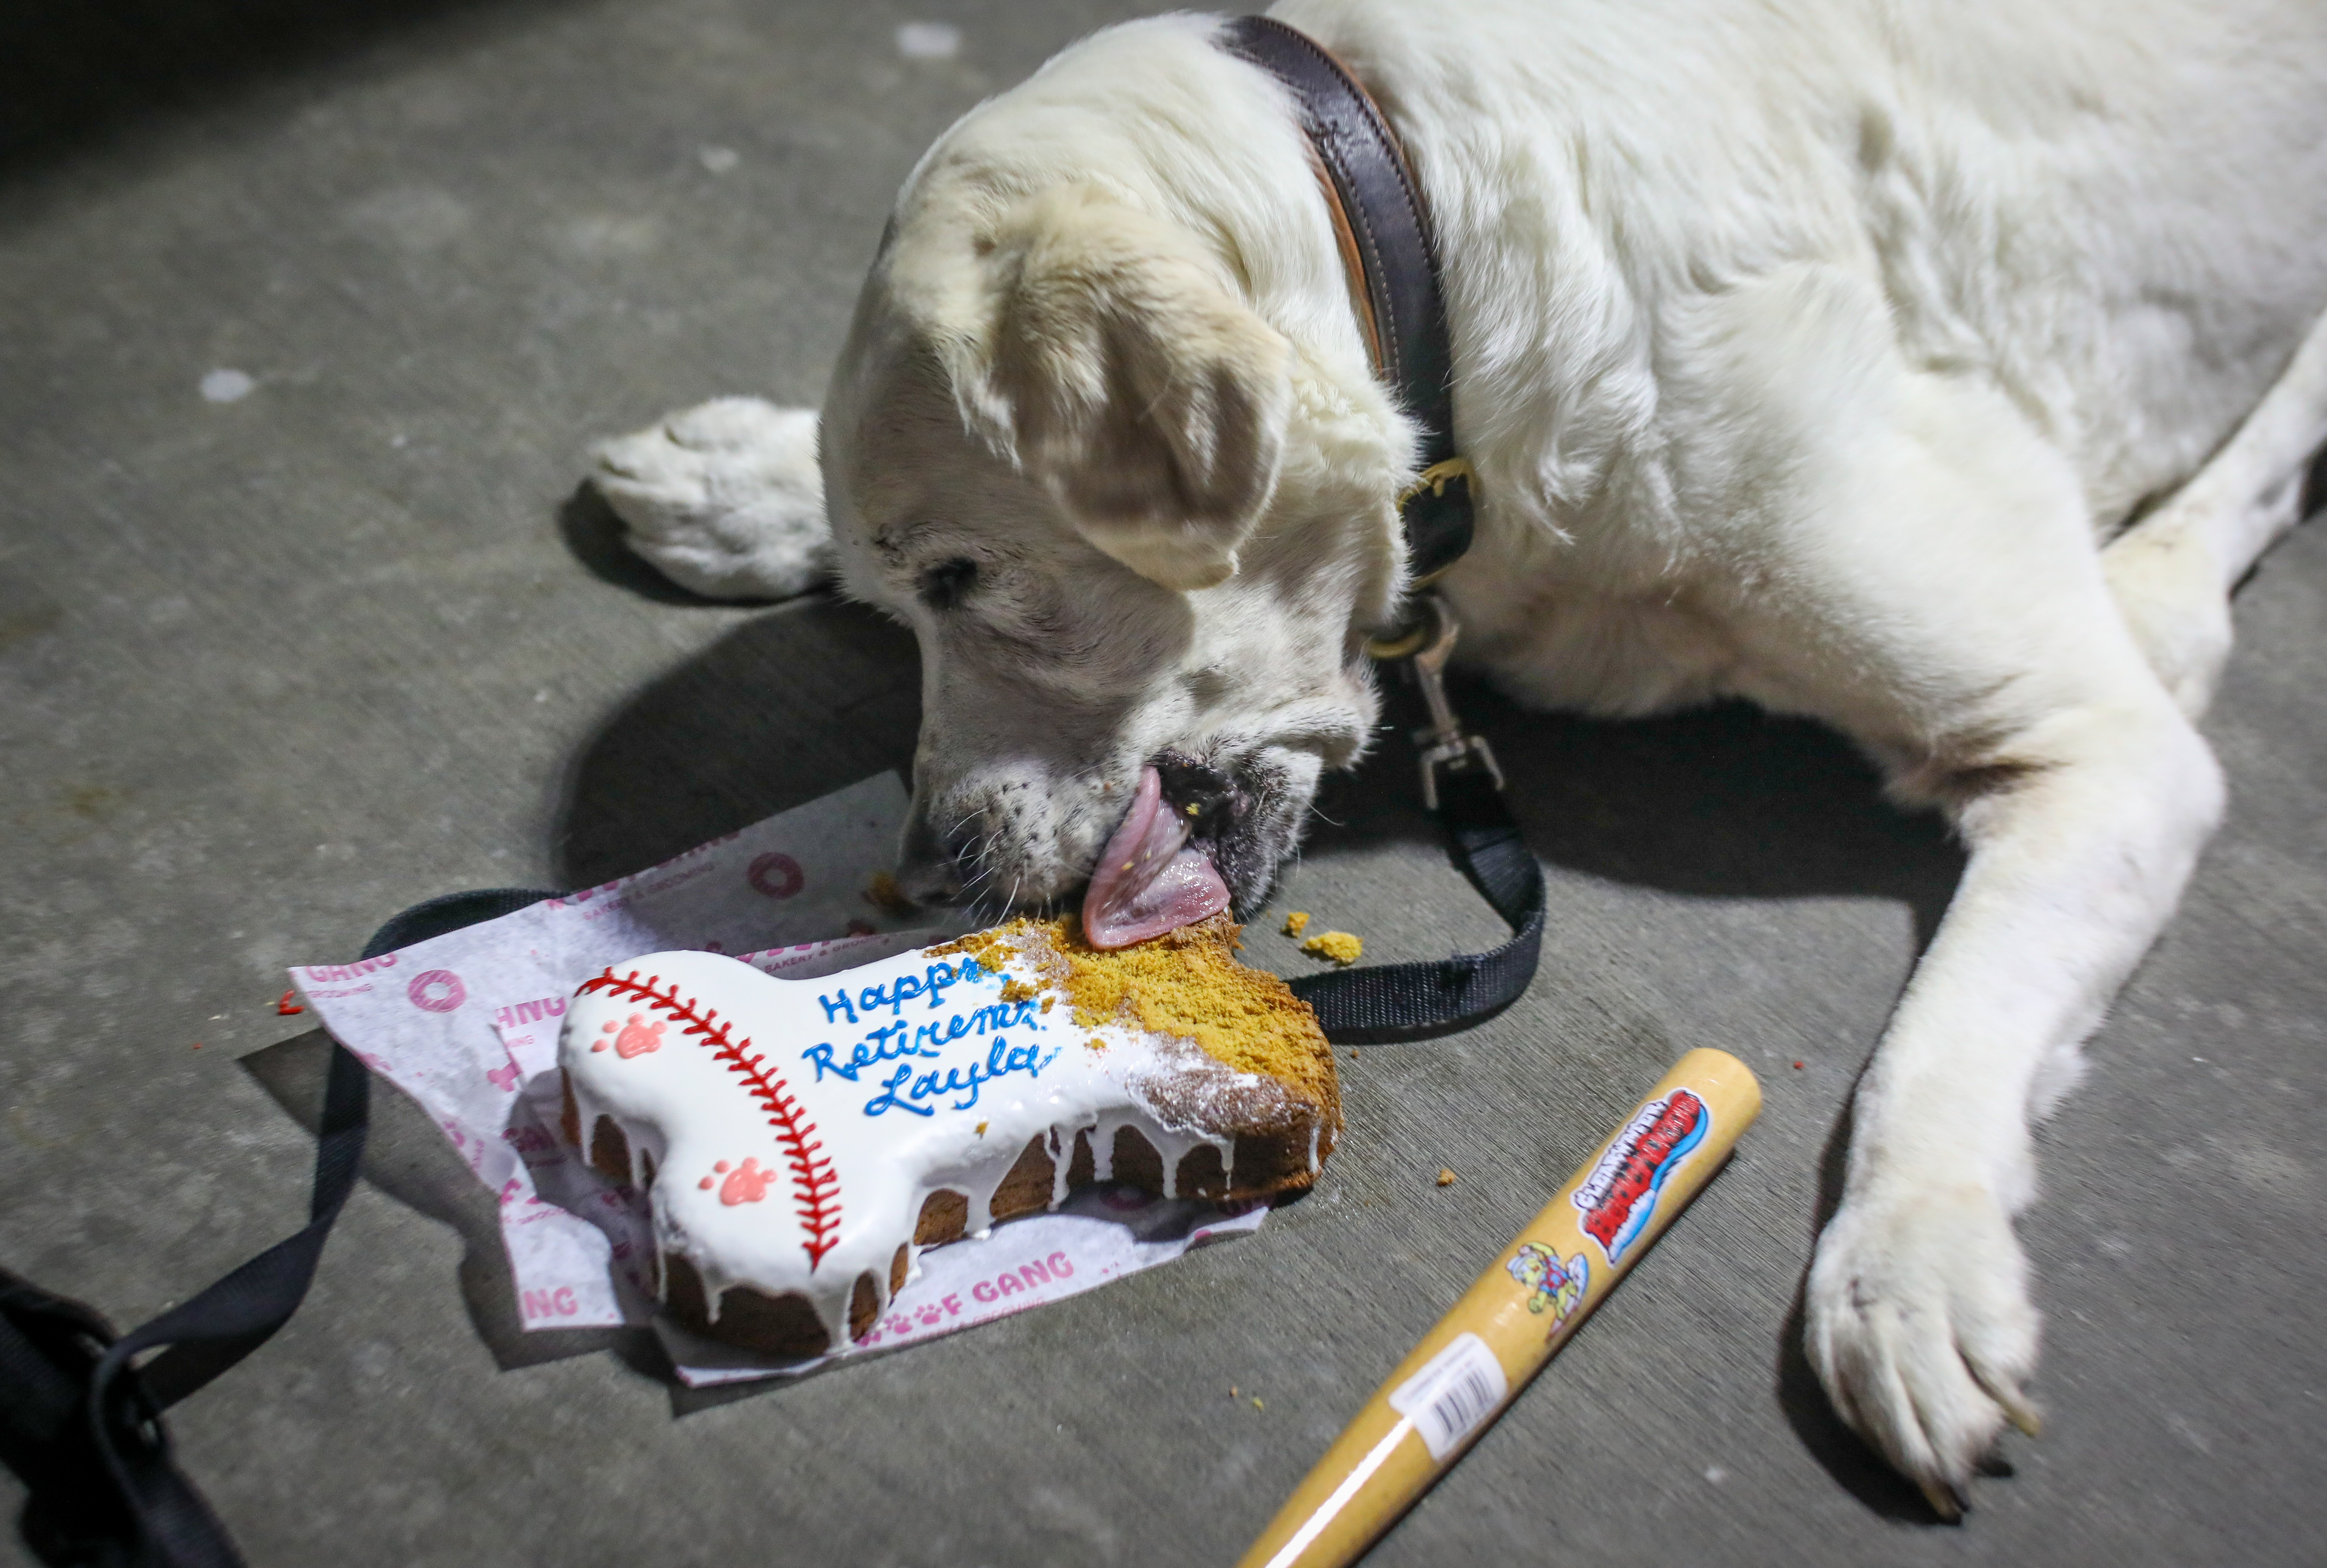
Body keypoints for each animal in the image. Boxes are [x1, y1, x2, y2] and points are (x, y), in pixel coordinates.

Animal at [586, 0, 2327, 1517]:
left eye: (963, 576)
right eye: (906, 598)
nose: (939, 868)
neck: (1446, 255)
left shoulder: (2097, 752)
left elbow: (1932, 1052)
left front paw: (1909, 1273)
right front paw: (746, 480)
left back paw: (2163, 586)